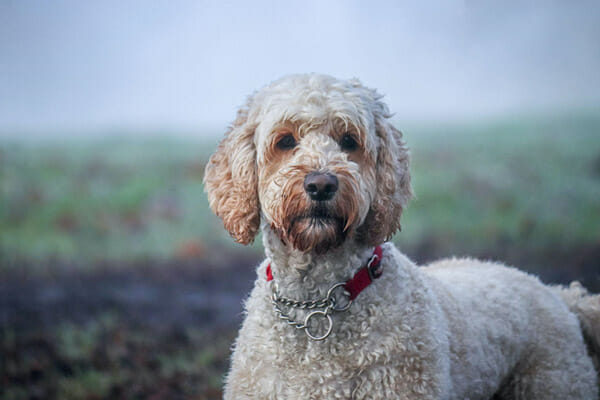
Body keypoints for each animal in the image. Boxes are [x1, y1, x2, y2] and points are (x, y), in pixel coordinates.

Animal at [203, 73, 600, 398]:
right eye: (285, 141)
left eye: (349, 140)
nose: (321, 184)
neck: (319, 302)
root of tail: (557, 294)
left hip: (555, 381)